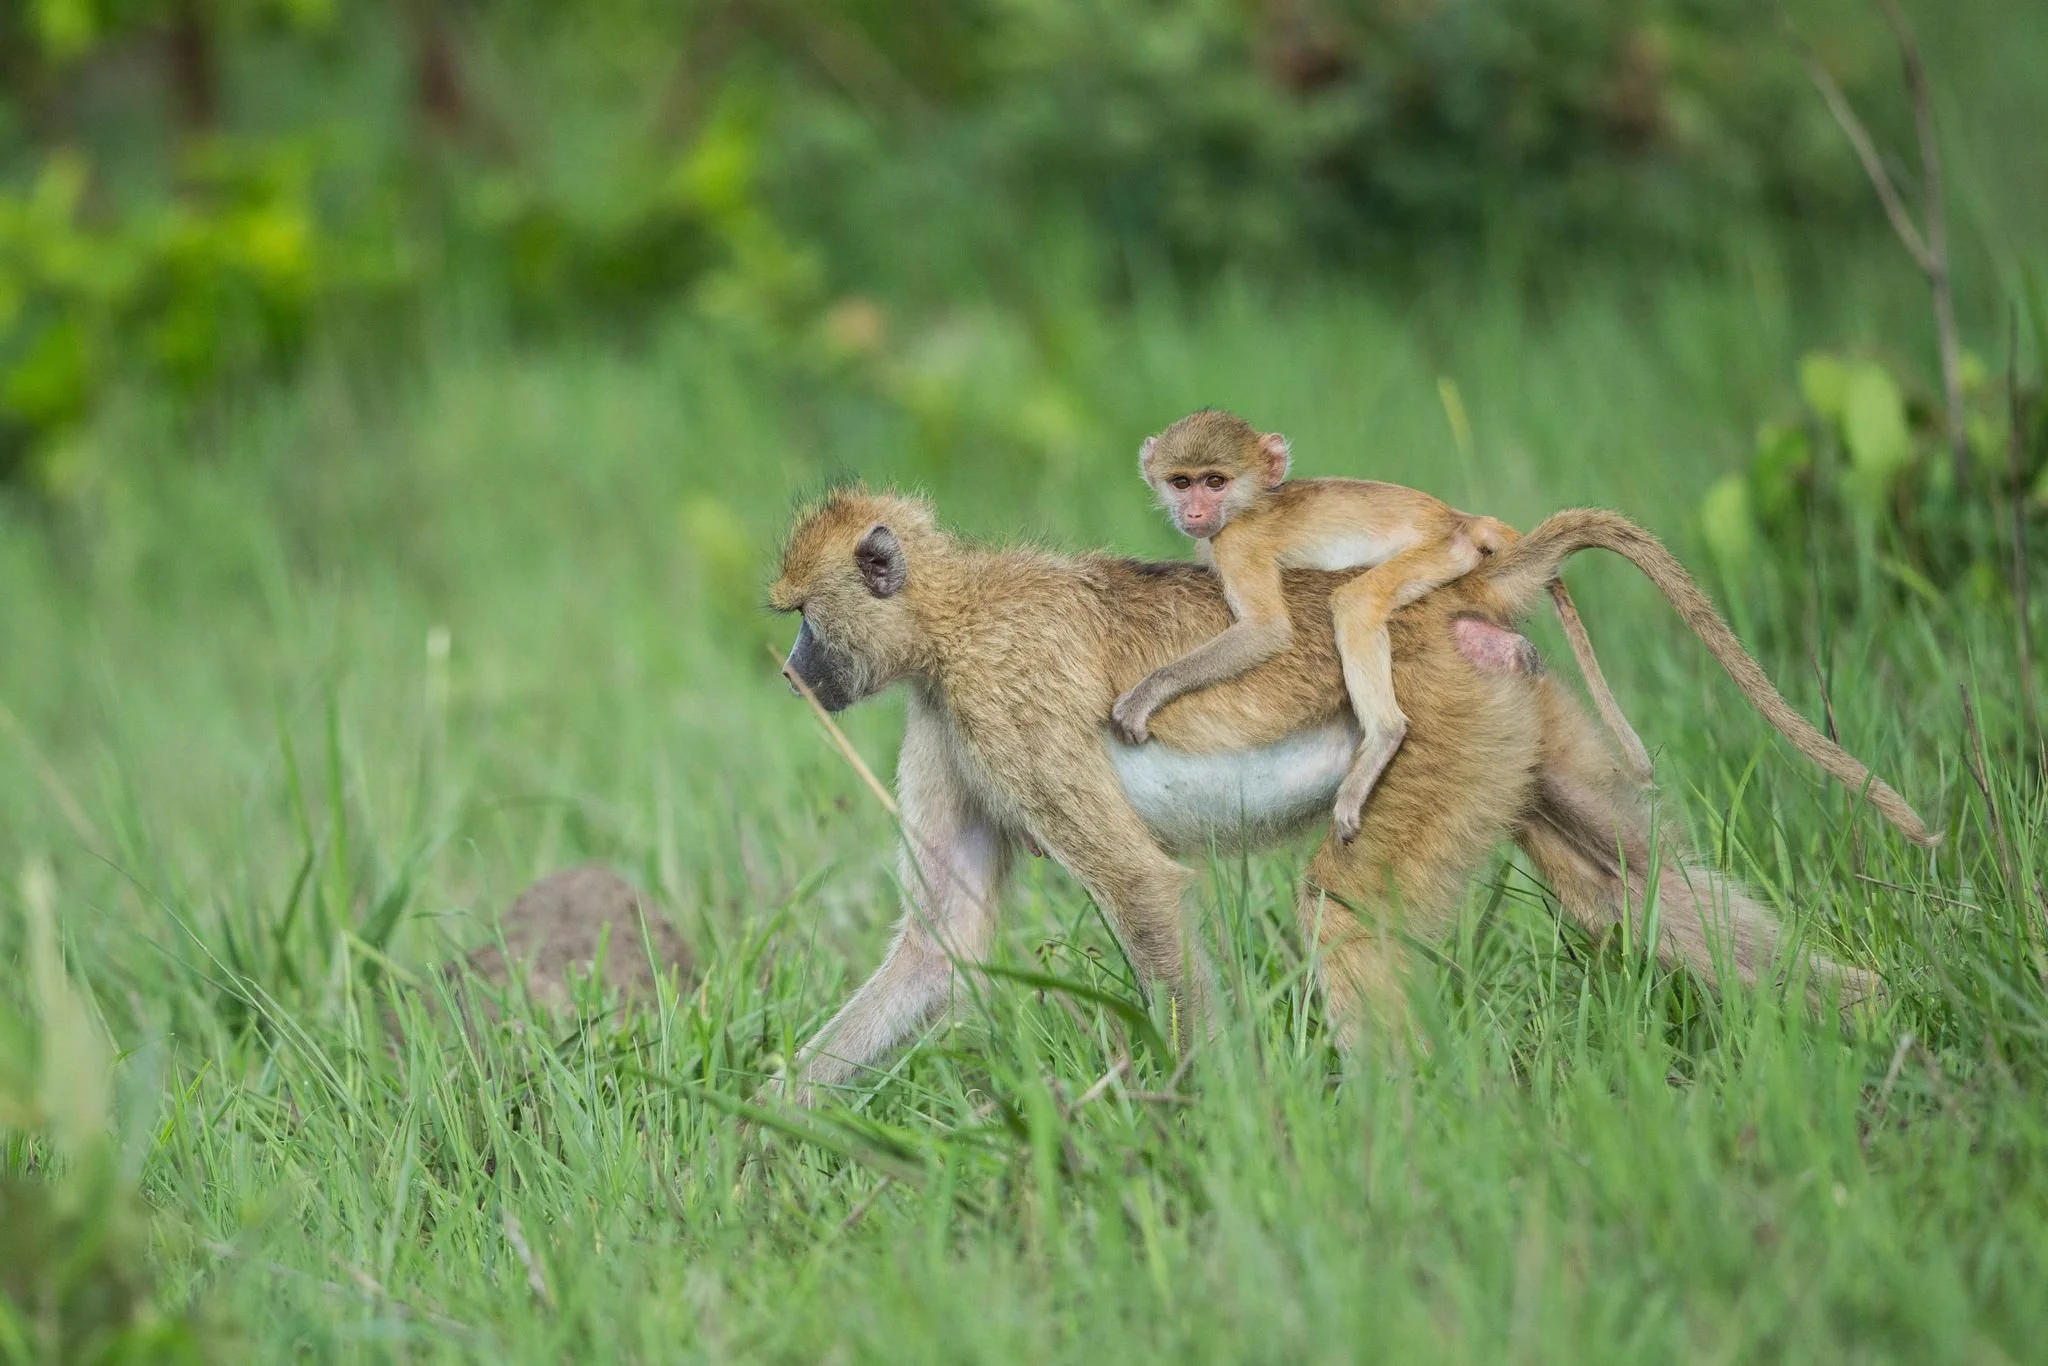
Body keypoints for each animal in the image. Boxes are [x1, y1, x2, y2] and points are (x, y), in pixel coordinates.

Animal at [762, 486, 1924, 1105]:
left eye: (805, 616)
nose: (791, 672)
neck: (952, 616)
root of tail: (1452, 590)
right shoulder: (945, 720)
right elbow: (944, 941)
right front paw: (760, 1128)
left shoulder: (1001, 701)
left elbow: (1141, 886)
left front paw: (1219, 1118)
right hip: (1508, 721)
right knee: (1628, 888)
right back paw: (1878, 1023)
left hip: (1430, 729)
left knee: (1351, 918)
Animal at [1113, 408, 1653, 844]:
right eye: (1181, 482)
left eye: (1215, 481)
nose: (1194, 512)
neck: (1248, 506)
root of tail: (1458, 519)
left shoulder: (1237, 543)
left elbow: (1266, 630)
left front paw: (1144, 695)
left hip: (1439, 555)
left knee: (1355, 604)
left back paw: (1383, 738)